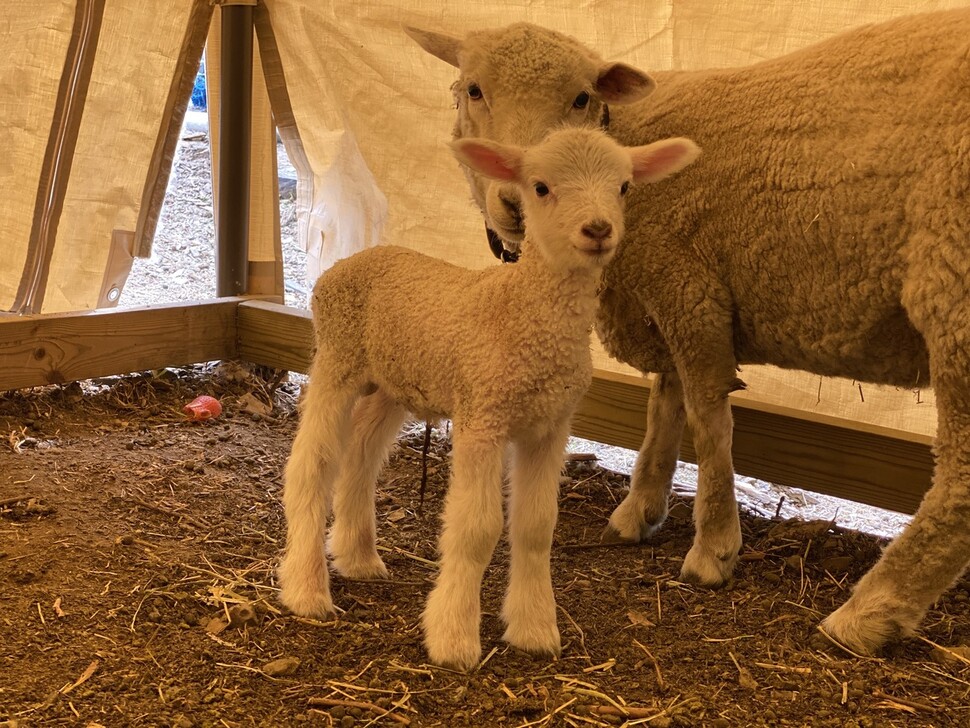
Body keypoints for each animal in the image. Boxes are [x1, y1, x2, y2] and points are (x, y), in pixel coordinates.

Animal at [276, 126, 700, 672]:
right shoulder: (484, 413)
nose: (598, 229)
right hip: (337, 356)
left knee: (362, 455)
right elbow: (477, 529)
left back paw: (359, 558)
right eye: (540, 187)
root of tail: (351, 260)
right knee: (313, 464)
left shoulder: (551, 425)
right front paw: (455, 638)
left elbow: (536, 527)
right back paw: (307, 589)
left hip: (395, 379)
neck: (522, 309)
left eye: (624, 186)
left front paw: (535, 629)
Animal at [404, 7, 968, 656]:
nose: (518, 199)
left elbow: (706, 417)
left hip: (955, 292)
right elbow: (664, 404)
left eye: (581, 98)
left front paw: (714, 547)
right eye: (473, 89)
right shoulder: (662, 292)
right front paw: (641, 509)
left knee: (959, 476)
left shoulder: (689, 286)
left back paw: (869, 612)